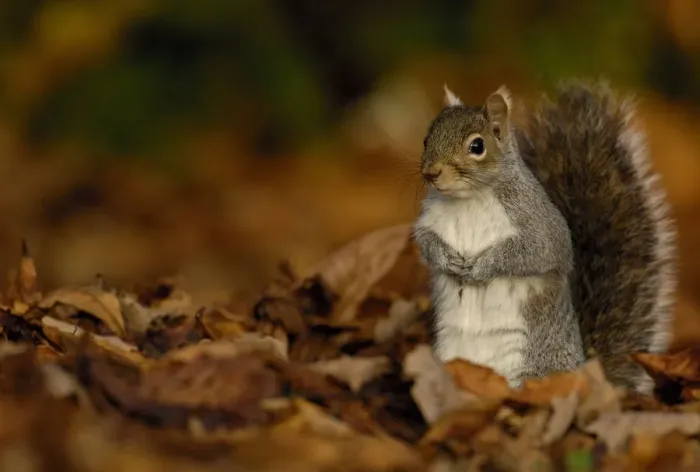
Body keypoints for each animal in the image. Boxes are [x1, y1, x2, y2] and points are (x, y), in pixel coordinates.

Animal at [412, 81, 676, 394]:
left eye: (477, 146)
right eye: (426, 139)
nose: (431, 173)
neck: (467, 200)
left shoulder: (539, 225)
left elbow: (536, 252)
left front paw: (483, 266)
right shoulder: (429, 220)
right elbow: (424, 241)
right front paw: (446, 258)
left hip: (536, 366)